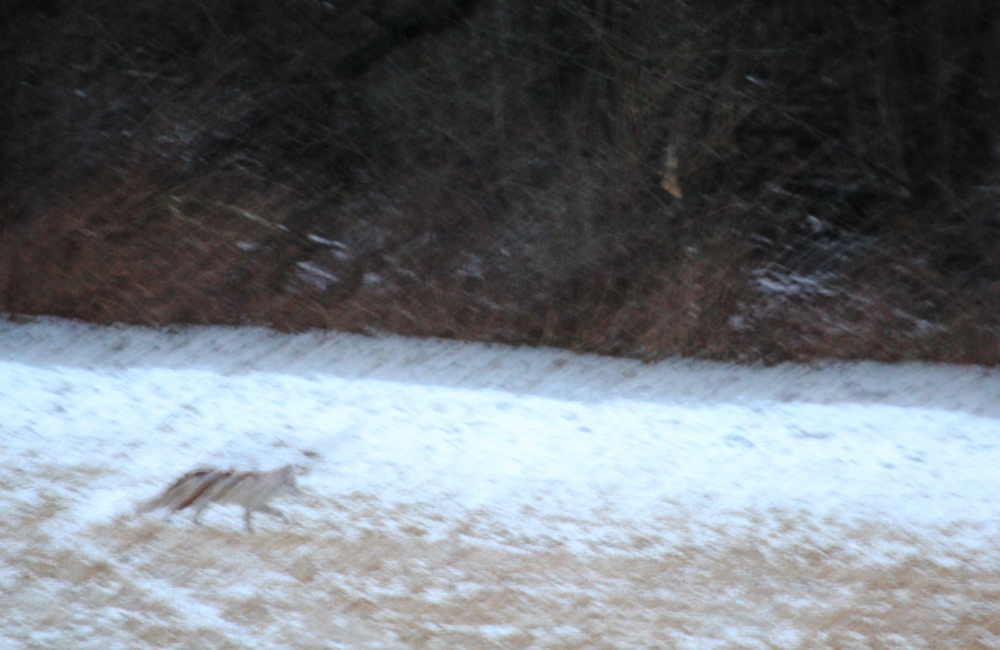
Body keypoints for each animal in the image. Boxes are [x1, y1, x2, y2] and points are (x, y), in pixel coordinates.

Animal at [139, 464, 298, 528]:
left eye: (295, 484)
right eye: (290, 484)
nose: (298, 493)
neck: (265, 485)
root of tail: (192, 473)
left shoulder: (250, 506)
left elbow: (249, 519)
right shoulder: (255, 505)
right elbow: (277, 512)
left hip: (202, 504)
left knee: (191, 518)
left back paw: (200, 526)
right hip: (190, 502)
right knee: (171, 509)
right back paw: (166, 523)